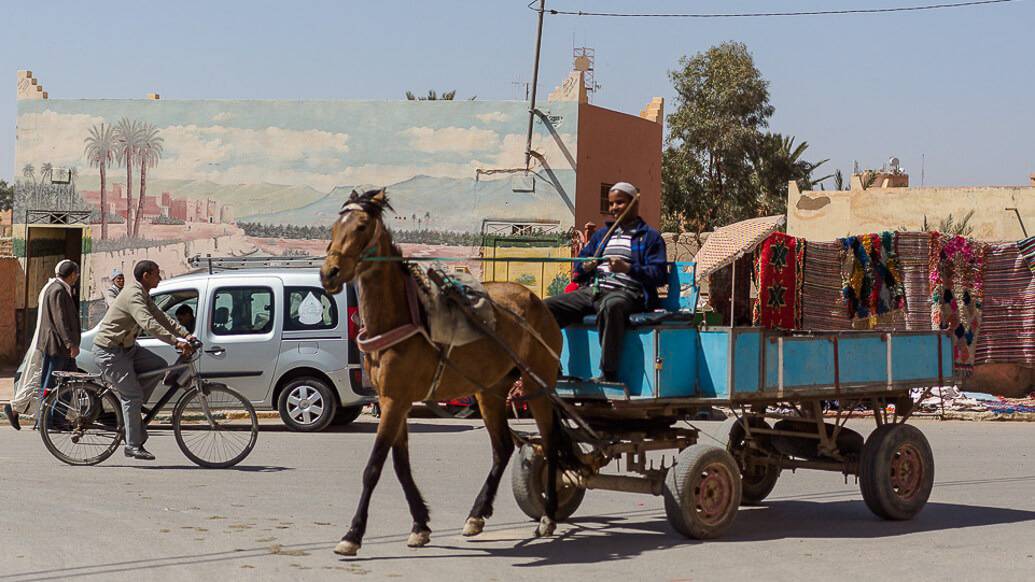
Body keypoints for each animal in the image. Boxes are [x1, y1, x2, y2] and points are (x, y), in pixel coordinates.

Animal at [318, 188, 571, 555]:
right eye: (335, 225)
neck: (400, 317)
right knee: (502, 448)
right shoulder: (394, 400)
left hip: (538, 384)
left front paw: (353, 534)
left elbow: (374, 466)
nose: (329, 273)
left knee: (549, 443)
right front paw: (420, 525)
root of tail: (536, 301)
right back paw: (477, 515)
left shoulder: (395, 401)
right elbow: (401, 465)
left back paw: (548, 516)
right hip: (490, 389)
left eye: (362, 226)